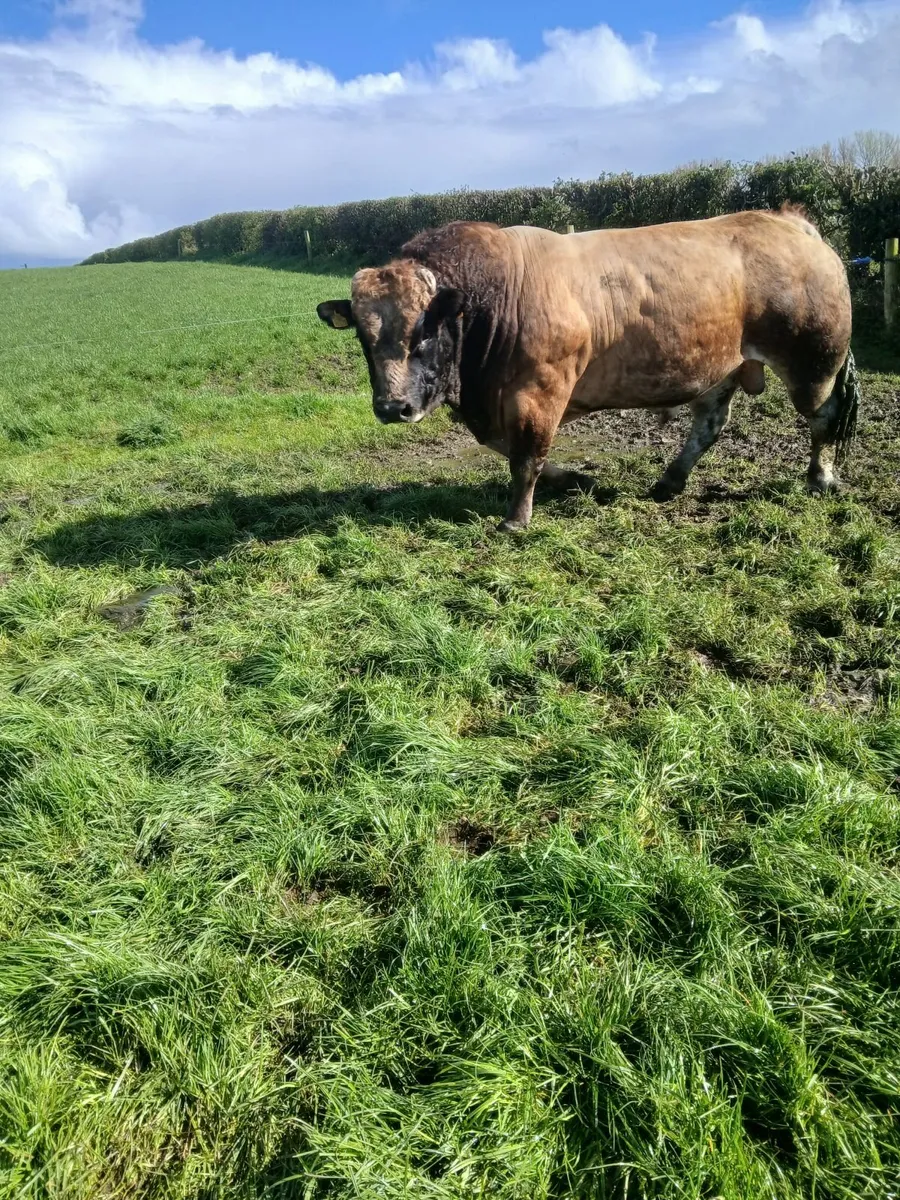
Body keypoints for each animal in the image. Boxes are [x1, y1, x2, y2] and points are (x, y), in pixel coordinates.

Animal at [317, 208, 858, 531]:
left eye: (424, 333)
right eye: (364, 337)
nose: (393, 407)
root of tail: (790, 221)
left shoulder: (540, 391)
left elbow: (525, 457)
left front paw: (515, 520)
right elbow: (508, 447)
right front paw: (575, 479)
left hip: (813, 363)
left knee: (823, 417)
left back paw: (820, 477)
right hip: (723, 366)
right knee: (709, 424)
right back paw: (669, 481)